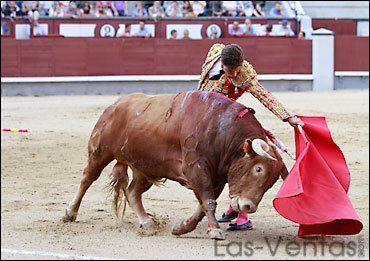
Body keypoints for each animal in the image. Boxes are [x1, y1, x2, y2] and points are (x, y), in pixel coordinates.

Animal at [62, 90, 290, 239]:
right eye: (258, 169)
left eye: (271, 183)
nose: (249, 206)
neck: (223, 132)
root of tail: (115, 105)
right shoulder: (196, 167)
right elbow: (208, 202)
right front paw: (215, 230)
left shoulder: (216, 177)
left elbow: (203, 205)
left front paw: (182, 228)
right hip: (100, 152)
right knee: (87, 178)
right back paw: (70, 213)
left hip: (145, 167)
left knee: (132, 191)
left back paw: (146, 222)